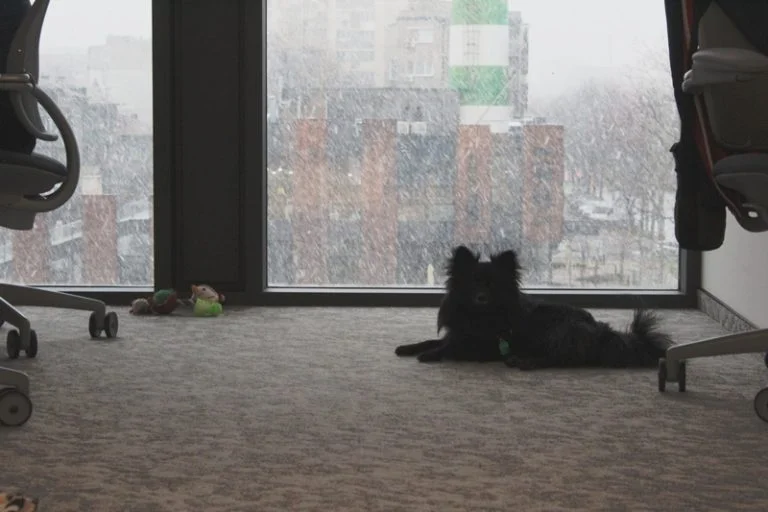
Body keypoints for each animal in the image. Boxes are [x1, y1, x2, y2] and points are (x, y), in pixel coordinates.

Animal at [395, 245, 673, 369]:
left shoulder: (480, 345)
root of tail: (603, 332)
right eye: (474, 283)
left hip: (554, 333)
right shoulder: (459, 332)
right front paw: (407, 347)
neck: (480, 316)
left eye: (493, 285)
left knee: (563, 359)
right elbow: (433, 339)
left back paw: (522, 361)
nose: (481, 297)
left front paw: (430, 354)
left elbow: (448, 346)